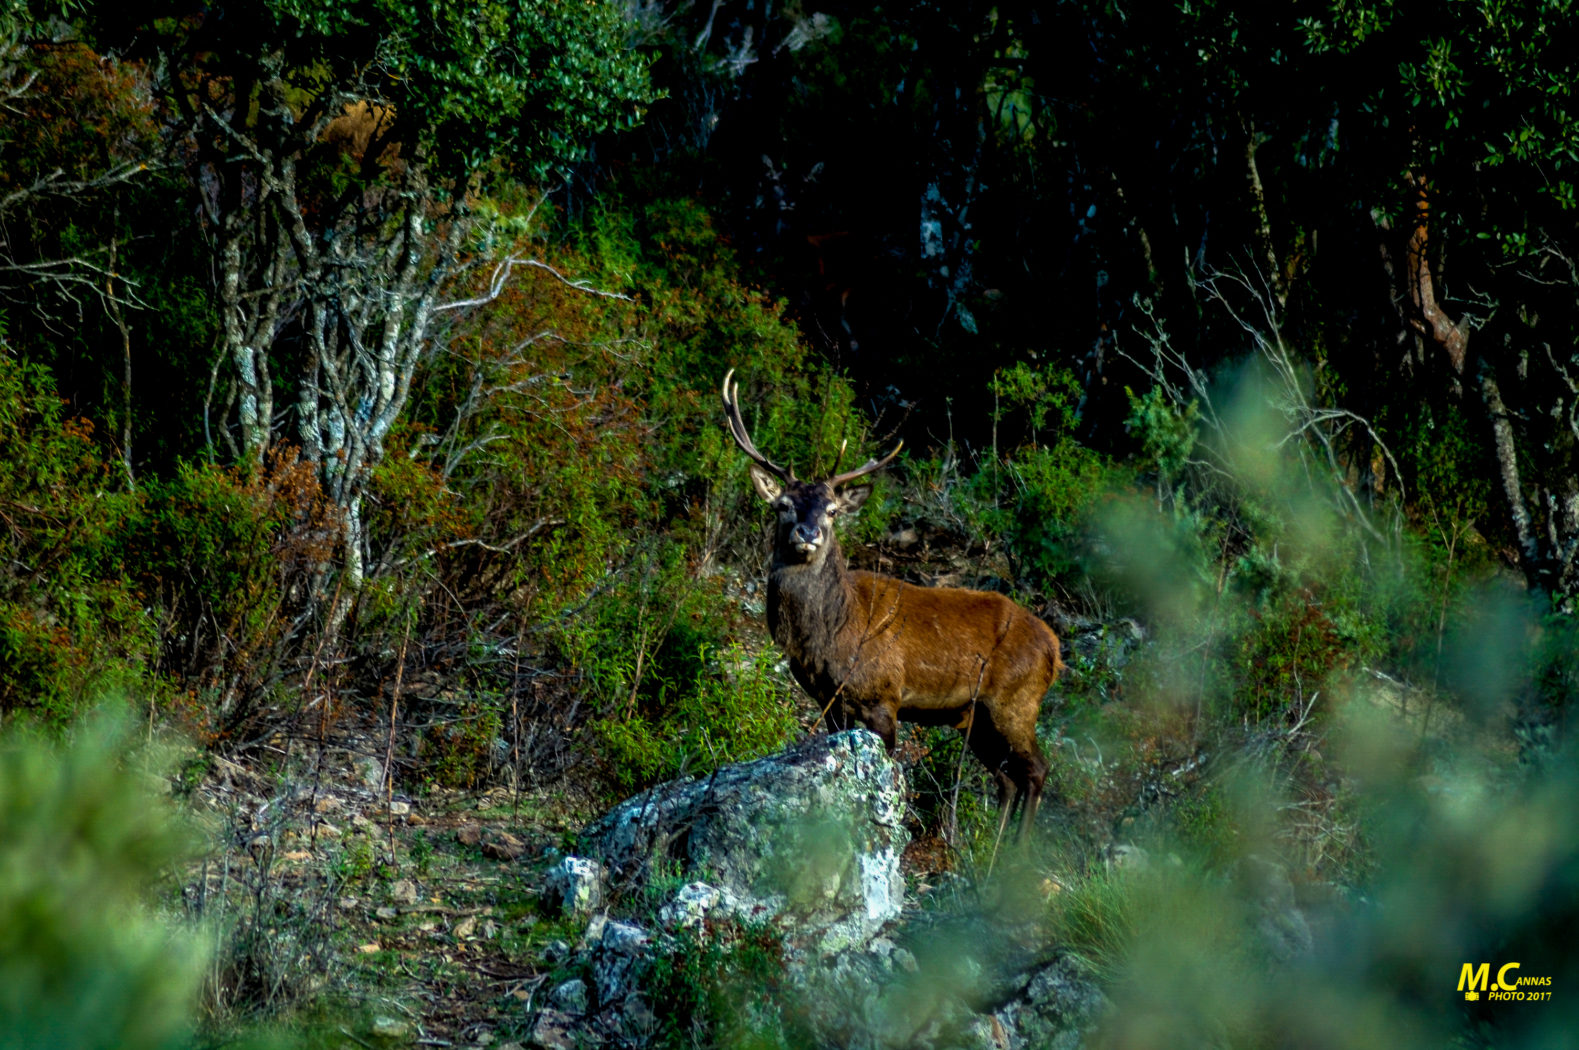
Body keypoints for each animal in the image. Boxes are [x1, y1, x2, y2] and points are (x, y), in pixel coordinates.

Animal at [722, 369, 1063, 842]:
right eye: (784, 504)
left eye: (832, 509)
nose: (808, 533)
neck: (831, 632)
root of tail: (1055, 649)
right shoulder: (832, 703)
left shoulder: (882, 697)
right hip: (976, 718)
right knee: (1007, 779)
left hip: (1015, 702)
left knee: (1037, 770)